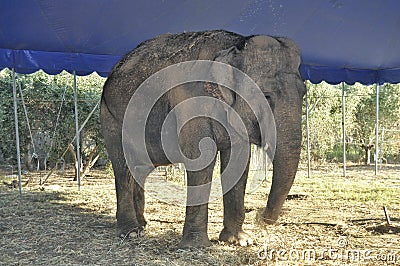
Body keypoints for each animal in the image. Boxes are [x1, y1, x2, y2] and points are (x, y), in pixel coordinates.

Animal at [101, 30, 306, 248]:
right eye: (266, 96)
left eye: (303, 93)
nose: (260, 217)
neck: (236, 45)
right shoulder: (191, 101)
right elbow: (202, 158)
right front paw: (197, 245)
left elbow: (239, 161)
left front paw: (241, 241)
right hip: (111, 117)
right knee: (123, 167)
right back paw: (130, 232)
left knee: (138, 169)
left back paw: (142, 226)